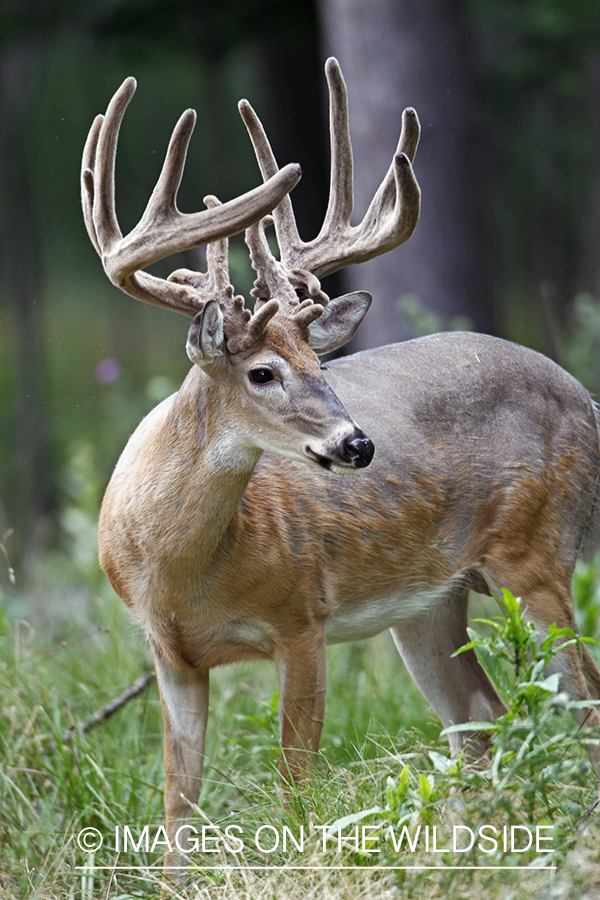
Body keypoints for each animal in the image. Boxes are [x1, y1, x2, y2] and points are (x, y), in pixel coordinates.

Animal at [83, 56, 600, 872]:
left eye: (318, 361)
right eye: (263, 372)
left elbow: (295, 780)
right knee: (481, 722)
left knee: (580, 705)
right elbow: (176, 806)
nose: (358, 444)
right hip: (429, 604)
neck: (178, 569)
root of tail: (586, 397)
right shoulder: (170, 654)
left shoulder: (304, 617)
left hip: (539, 554)